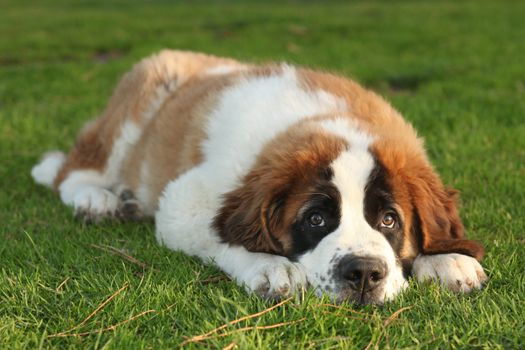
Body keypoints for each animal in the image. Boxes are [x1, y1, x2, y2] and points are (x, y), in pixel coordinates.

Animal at [31, 50, 488, 304]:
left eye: (389, 220)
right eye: (316, 220)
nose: (363, 274)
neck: (327, 124)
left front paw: (447, 258)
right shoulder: (184, 200)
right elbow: (222, 234)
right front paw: (270, 267)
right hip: (134, 112)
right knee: (74, 170)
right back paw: (98, 199)